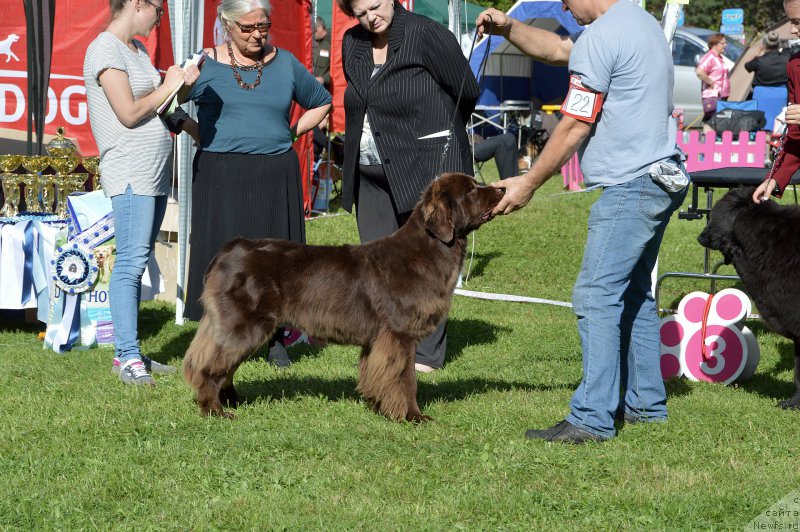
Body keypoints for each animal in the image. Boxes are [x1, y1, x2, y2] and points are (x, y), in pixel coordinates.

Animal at [184, 175, 504, 424]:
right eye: (471, 190)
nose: (502, 189)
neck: (429, 249)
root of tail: (229, 250)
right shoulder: (400, 333)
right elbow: (406, 378)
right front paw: (412, 416)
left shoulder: (378, 340)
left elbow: (376, 374)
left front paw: (378, 406)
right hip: (245, 324)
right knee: (209, 368)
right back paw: (215, 411)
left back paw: (232, 401)